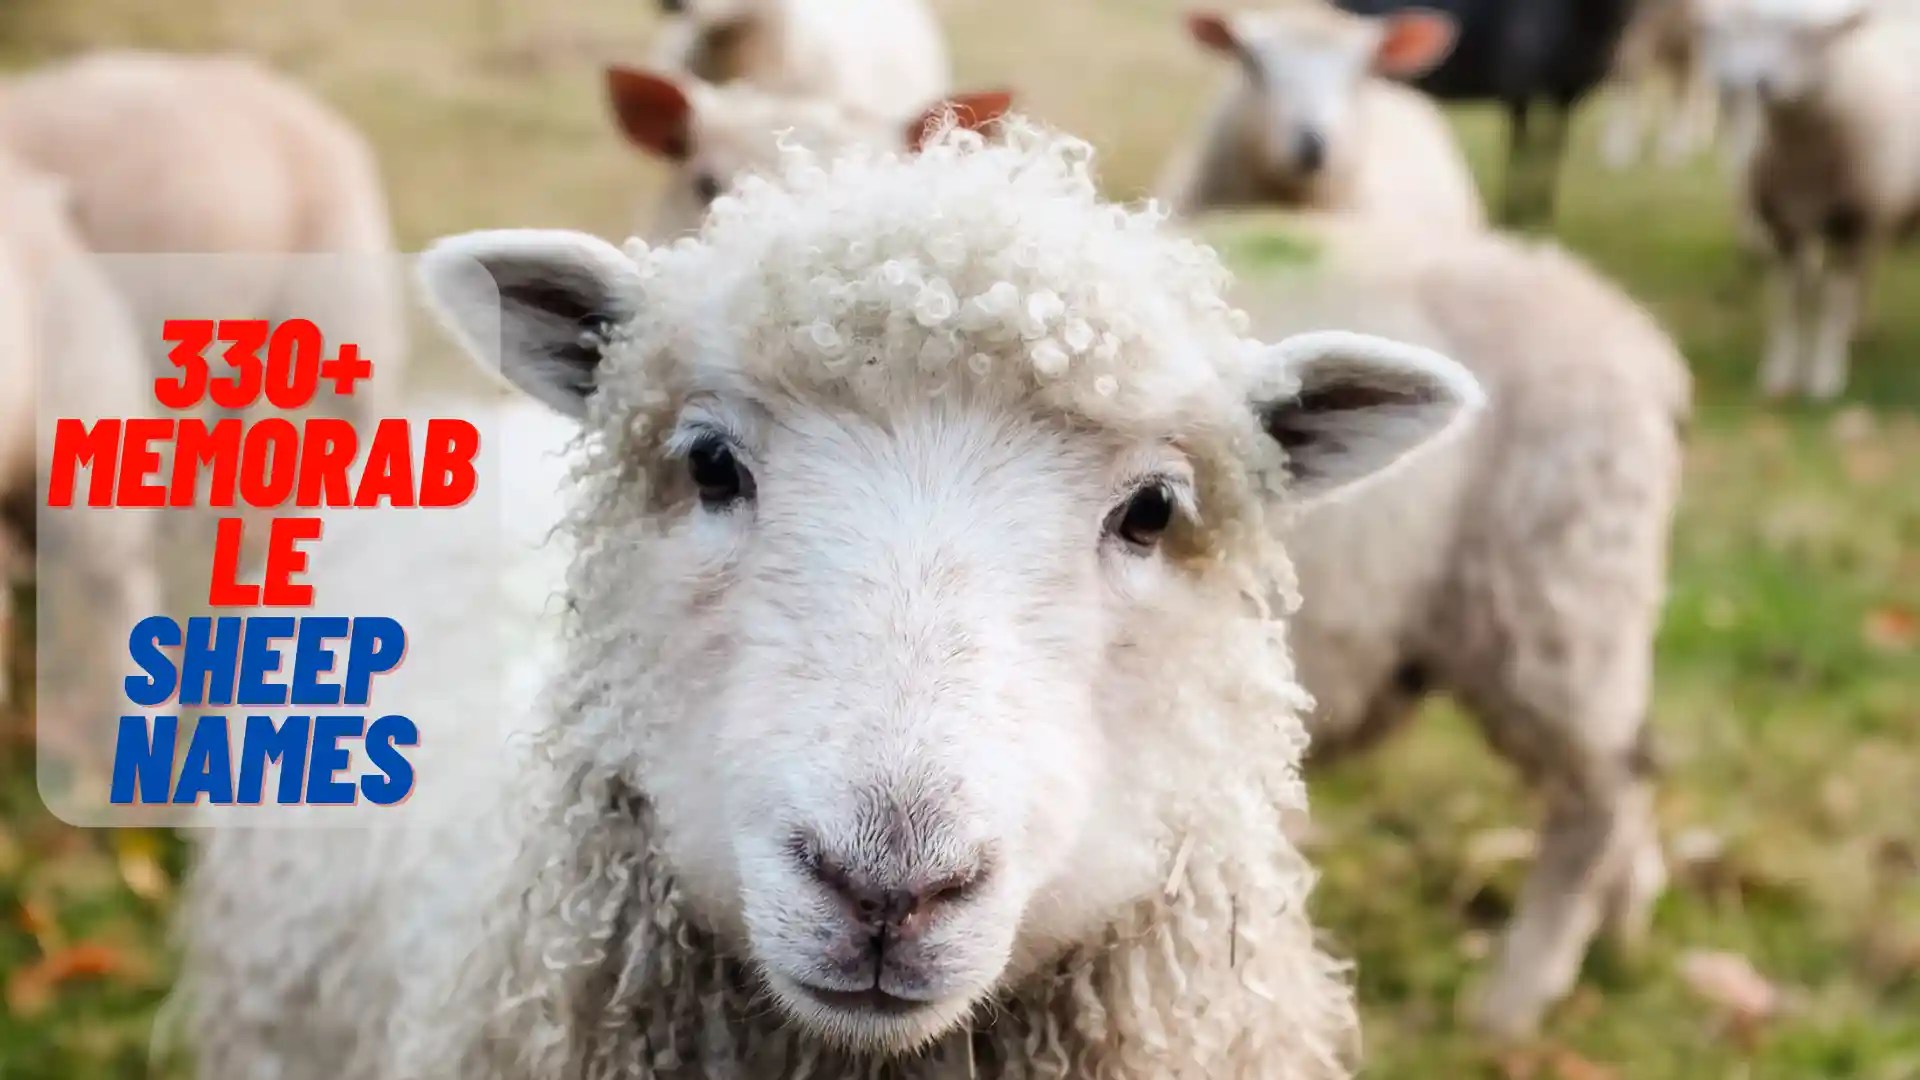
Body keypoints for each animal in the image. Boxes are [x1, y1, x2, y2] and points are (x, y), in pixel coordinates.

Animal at [1335, 0, 1642, 224]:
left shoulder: (1567, 96)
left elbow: (1550, 154)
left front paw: (1540, 213)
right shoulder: (1520, 88)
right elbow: (1521, 154)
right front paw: (1515, 216)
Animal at [1697, 0, 1920, 399]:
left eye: (1814, 37)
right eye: (1758, 28)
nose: (1761, 83)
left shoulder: (1850, 222)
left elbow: (1832, 301)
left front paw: (1825, 378)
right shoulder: (1783, 223)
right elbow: (1789, 299)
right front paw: (1780, 373)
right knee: (1868, 267)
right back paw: (1859, 328)